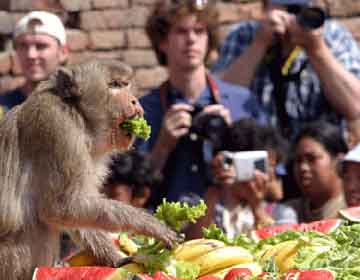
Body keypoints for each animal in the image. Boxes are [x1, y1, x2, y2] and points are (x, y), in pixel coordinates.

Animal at [0, 60, 179, 278]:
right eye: (114, 85)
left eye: (126, 84)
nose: (135, 101)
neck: (78, 115)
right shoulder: (57, 128)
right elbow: (62, 207)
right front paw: (149, 224)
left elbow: (78, 211)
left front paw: (118, 260)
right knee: (41, 224)